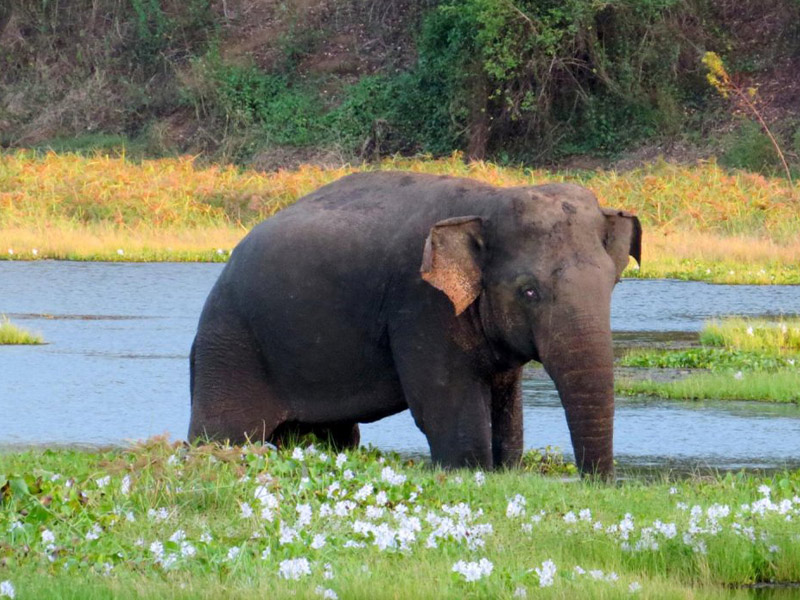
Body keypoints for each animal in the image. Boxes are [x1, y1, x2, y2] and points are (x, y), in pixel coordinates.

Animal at [189, 170, 644, 478]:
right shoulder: (421, 305)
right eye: (529, 291)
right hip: (230, 345)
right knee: (223, 433)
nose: (596, 485)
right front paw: (472, 471)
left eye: (612, 284)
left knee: (333, 437)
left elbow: (506, 410)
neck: (488, 202)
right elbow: (443, 410)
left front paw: (504, 469)